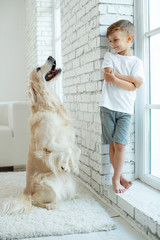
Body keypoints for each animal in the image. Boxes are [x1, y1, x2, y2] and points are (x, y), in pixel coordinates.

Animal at [2, 56, 81, 214]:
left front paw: (74, 166)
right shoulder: (47, 144)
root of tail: (26, 192)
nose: (51, 57)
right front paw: (65, 165)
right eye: (38, 69)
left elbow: (76, 150)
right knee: (35, 201)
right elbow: (67, 150)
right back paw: (51, 205)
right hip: (47, 185)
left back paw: (74, 196)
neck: (49, 106)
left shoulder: (67, 138)